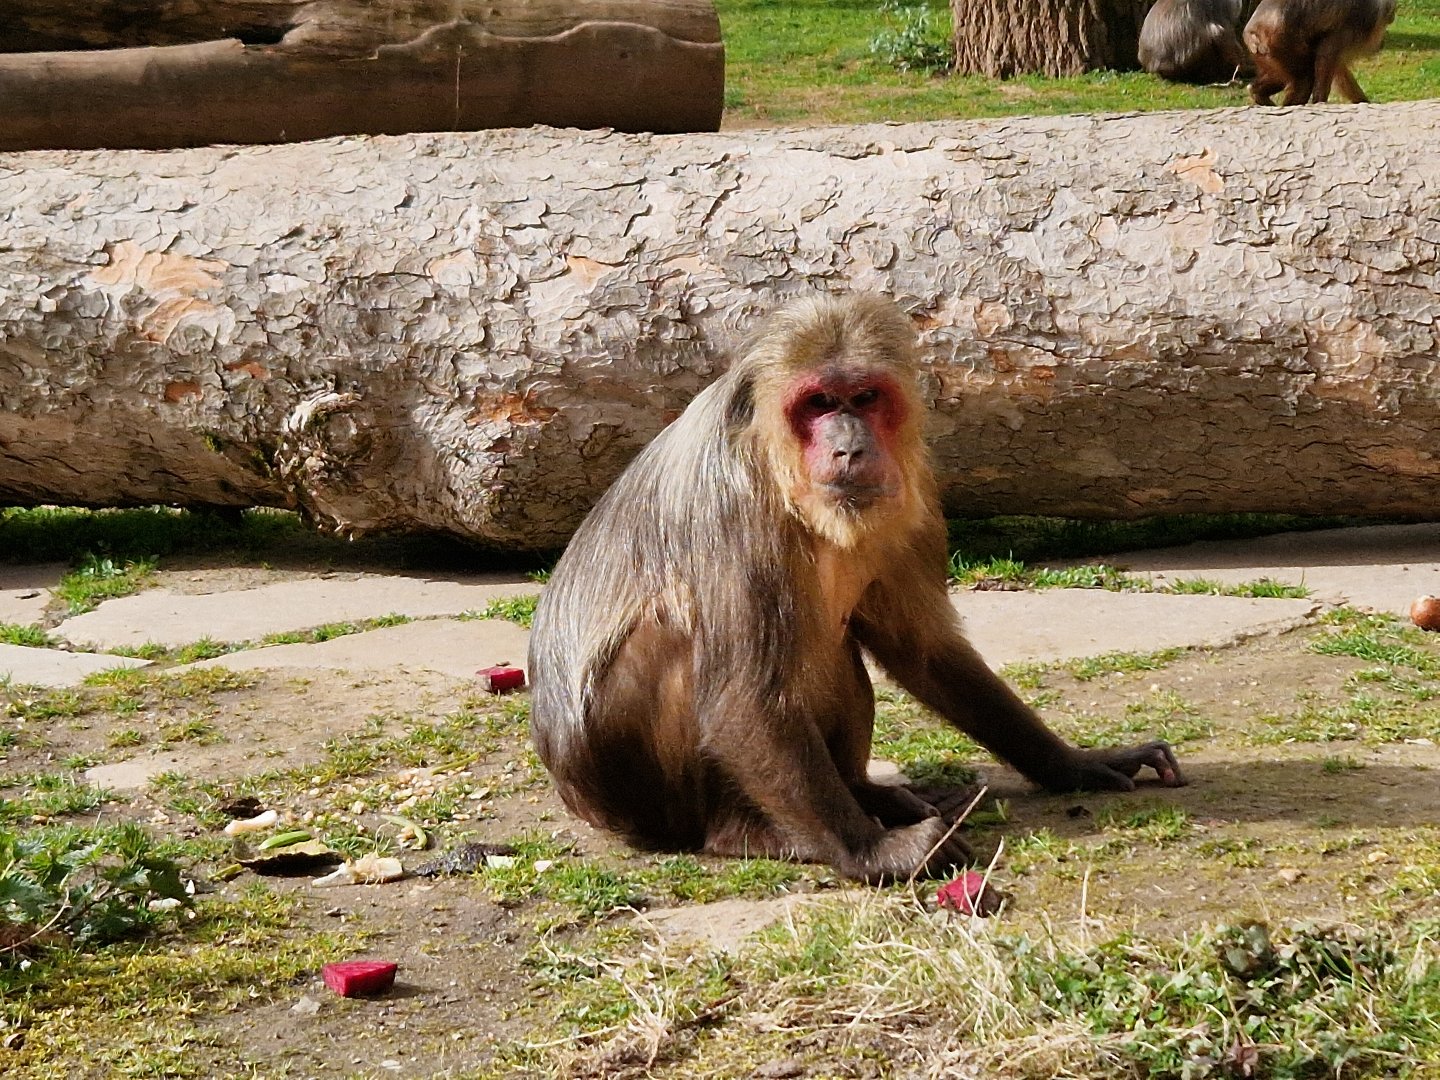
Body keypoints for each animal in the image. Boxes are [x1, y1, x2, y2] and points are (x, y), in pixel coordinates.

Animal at [527, 294, 1185, 883]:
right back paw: (744, 831)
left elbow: (923, 651)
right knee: (677, 640)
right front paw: (868, 853)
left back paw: (866, 794)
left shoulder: (913, 485)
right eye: (819, 404)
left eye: (864, 399)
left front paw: (1072, 763)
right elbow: (741, 700)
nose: (849, 445)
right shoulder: (732, 507)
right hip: (634, 795)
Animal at [1244, 0, 1396, 105]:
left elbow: (1338, 70)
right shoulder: (1350, 27)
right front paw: (1319, 101)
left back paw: (1256, 92)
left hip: (1264, 52)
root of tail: (1250, 33)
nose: (1381, 41)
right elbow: (1327, 57)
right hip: (1278, 41)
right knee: (1303, 81)